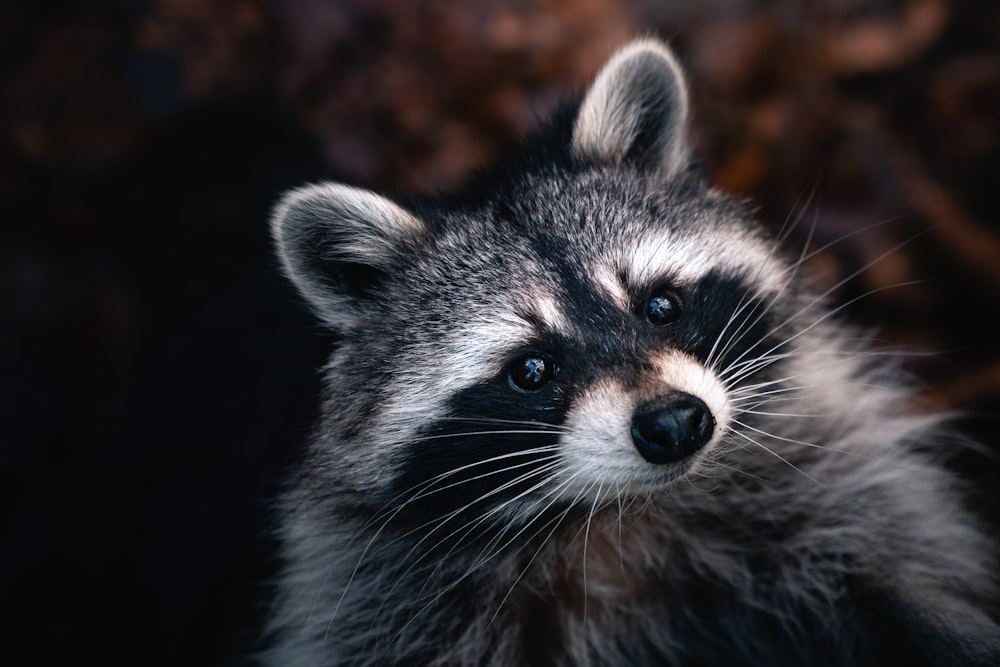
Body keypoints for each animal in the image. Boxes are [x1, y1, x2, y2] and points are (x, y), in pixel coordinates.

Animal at [260, 39, 1000, 664]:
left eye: (660, 306)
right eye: (531, 369)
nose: (675, 423)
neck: (619, 510)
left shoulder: (832, 492)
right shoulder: (382, 600)